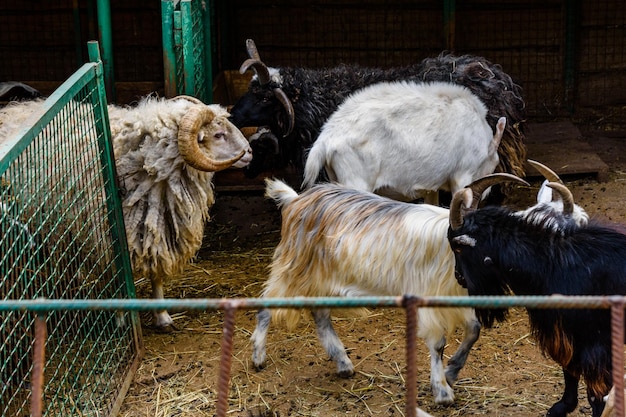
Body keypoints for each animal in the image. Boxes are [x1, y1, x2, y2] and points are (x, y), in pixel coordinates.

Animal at [302, 80, 502, 202]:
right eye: (495, 162)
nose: (486, 193)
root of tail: (326, 137)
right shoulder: (463, 175)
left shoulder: (432, 187)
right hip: (356, 182)